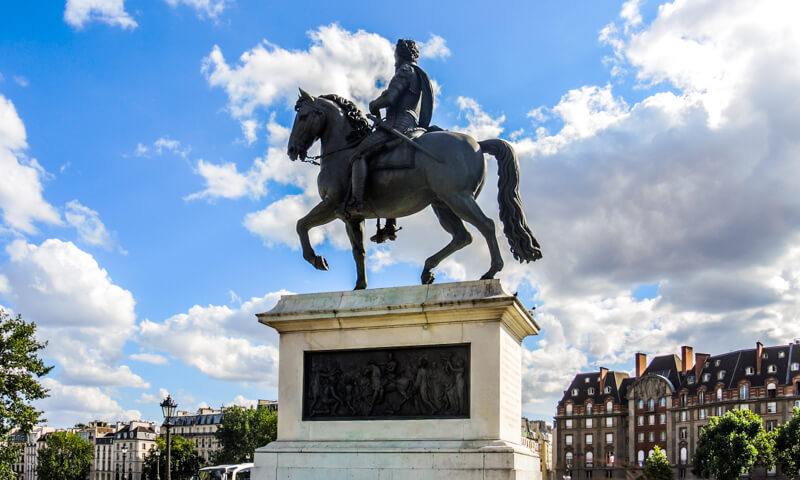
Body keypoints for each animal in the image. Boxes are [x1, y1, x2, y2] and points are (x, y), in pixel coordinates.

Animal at [284, 88, 540, 288]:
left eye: (303, 116)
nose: (292, 150)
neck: (344, 150)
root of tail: (478, 143)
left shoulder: (332, 205)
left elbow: (301, 225)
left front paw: (316, 259)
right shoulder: (352, 217)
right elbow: (359, 252)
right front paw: (359, 287)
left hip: (458, 198)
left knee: (486, 226)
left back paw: (491, 271)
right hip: (442, 204)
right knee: (462, 236)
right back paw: (427, 270)